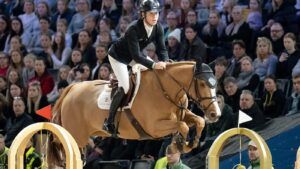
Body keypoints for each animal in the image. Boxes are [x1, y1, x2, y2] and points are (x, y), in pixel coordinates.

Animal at [49, 62, 221, 164]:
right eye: (202, 84)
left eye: (215, 83)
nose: (215, 115)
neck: (165, 91)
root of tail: (72, 88)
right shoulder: (155, 127)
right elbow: (183, 126)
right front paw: (182, 145)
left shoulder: (182, 115)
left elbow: (198, 121)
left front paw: (191, 143)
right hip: (76, 135)